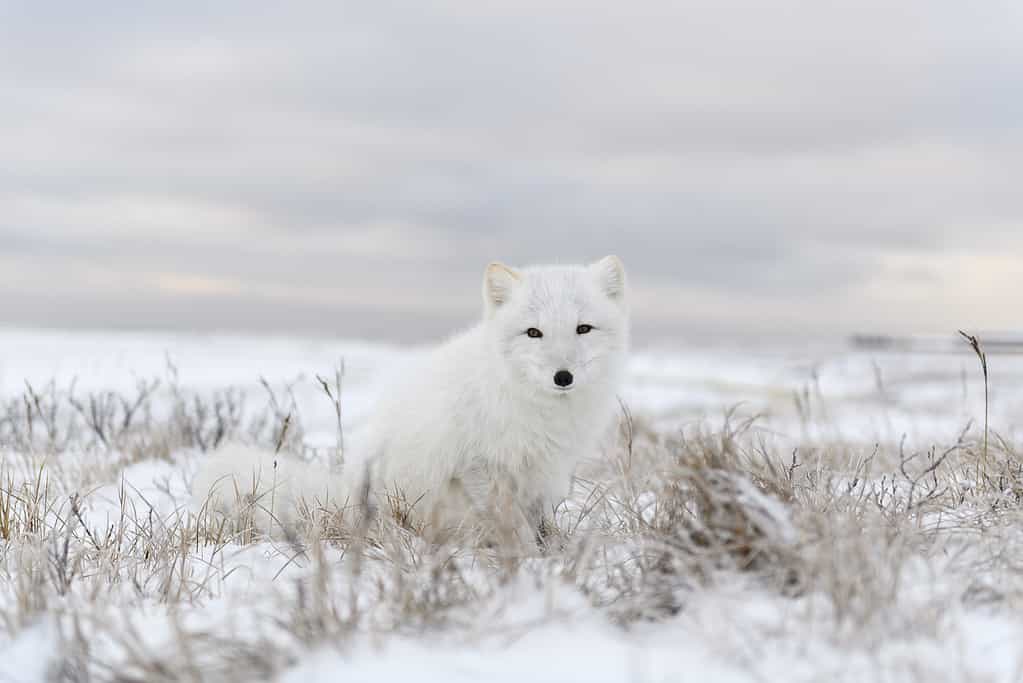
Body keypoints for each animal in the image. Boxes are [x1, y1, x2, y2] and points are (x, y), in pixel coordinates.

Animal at [188, 255, 626, 543]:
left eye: (583, 328)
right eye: (533, 333)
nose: (563, 377)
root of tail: (345, 496)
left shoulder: (543, 473)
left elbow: (537, 521)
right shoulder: (479, 466)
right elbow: (512, 526)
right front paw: (526, 559)